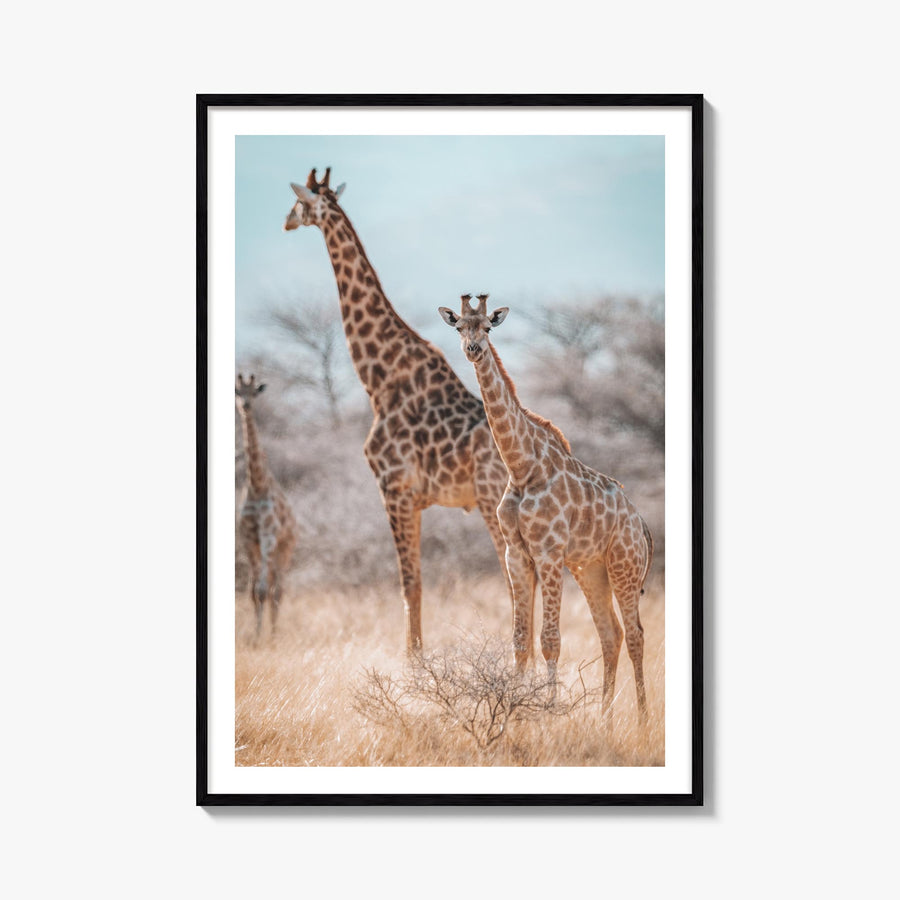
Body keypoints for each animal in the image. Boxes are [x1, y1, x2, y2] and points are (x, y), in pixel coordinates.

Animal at [284, 168, 512, 655]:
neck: (379, 377)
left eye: (298, 203)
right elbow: (417, 580)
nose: (286, 222)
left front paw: (413, 661)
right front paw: (417, 657)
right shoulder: (414, 497)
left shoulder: (393, 487)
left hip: (492, 501)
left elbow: (409, 582)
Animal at [439, 295, 654, 718]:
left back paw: (641, 718)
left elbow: (550, 639)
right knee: (611, 634)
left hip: (624, 565)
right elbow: (520, 640)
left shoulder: (549, 552)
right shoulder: (517, 553)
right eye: (458, 327)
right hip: (591, 569)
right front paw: (517, 711)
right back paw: (604, 718)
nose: (473, 349)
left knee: (636, 634)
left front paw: (549, 713)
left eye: (487, 327)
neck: (522, 465)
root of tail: (640, 524)